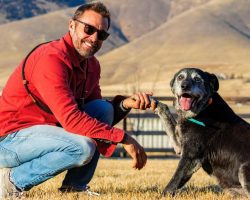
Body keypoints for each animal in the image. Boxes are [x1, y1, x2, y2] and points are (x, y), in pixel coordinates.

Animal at [154, 67, 250, 197]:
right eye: (180, 77)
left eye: (197, 79)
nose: (184, 86)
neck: (203, 110)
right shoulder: (180, 145)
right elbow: (166, 113)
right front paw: (153, 102)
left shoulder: (190, 156)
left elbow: (175, 179)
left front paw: (163, 195)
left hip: (244, 169)